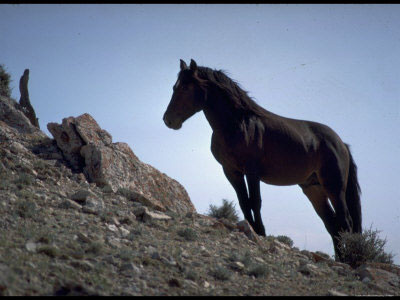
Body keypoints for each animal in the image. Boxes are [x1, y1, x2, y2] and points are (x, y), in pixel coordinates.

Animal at [161, 58, 360, 260]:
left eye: (186, 87)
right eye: (174, 87)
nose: (168, 120)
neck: (237, 124)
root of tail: (341, 143)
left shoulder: (252, 172)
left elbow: (255, 201)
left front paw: (260, 233)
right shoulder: (231, 171)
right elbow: (244, 202)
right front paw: (252, 229)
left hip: (334, 187)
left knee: (345, 222)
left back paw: (350, 259)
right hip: (313, 189)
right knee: (332, 224)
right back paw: (343, 259)